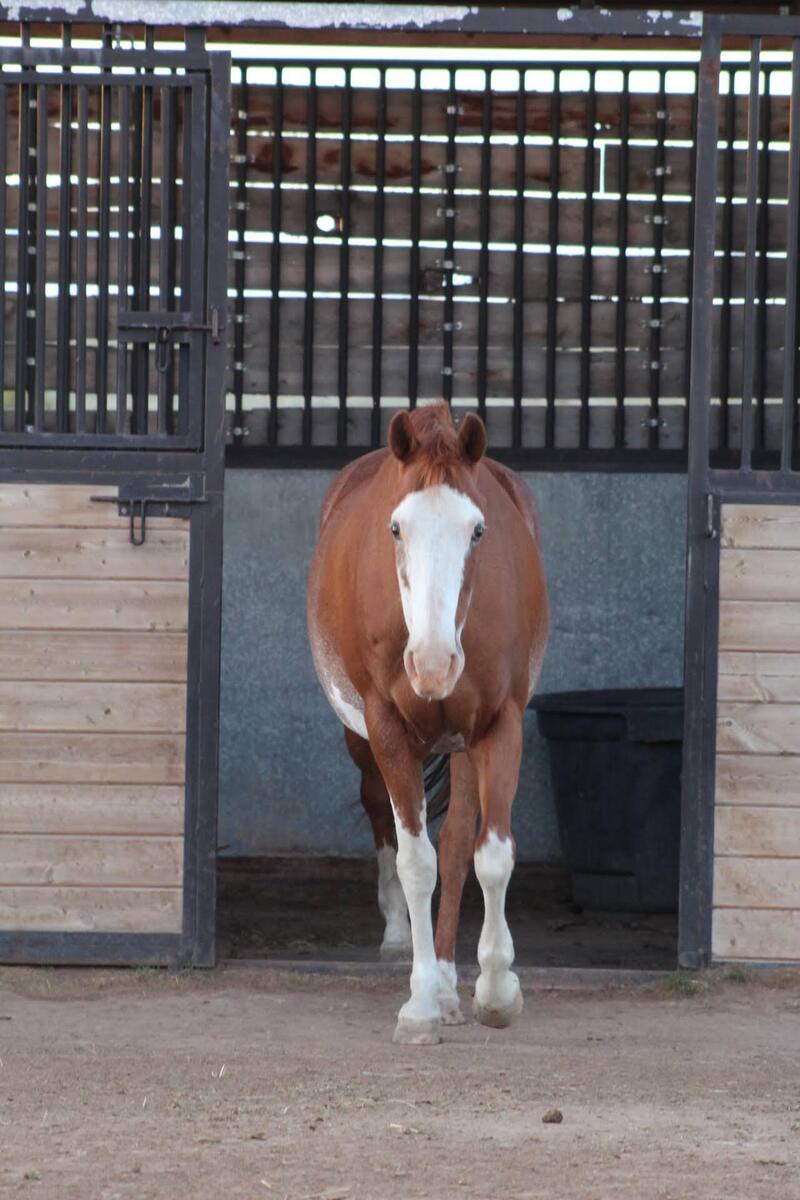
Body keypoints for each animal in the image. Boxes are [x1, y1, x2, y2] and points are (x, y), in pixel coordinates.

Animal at [307, 402, 549, 1044]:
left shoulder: (499, 724)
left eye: (478, 530)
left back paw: (445, 980)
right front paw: (418, 1004)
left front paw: (495, 990)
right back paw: (402, 940)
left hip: (462, 742)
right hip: (362, 737)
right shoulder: (387, 727)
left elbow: (488, 853)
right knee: (379, 810)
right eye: (396, 529)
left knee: (459, 837)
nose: (434, 665)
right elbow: (416, 862)